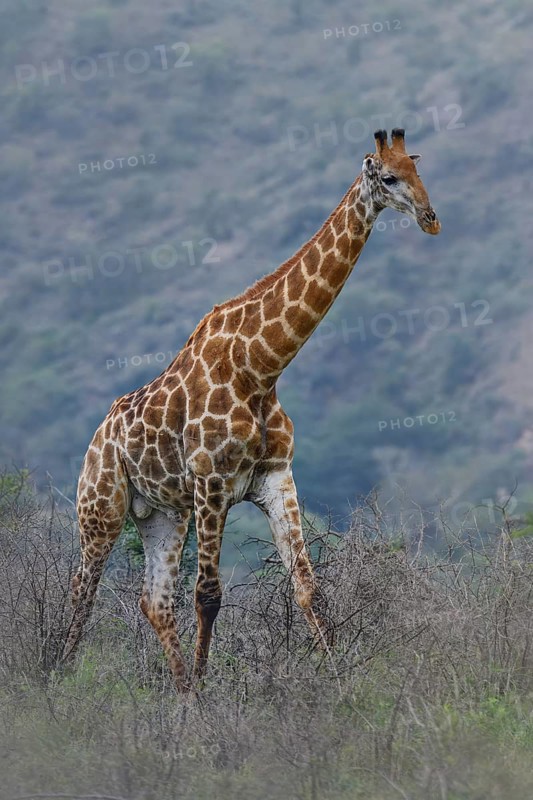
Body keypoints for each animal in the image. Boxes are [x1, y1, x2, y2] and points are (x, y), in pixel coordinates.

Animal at [64, 129, 440, 690]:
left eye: (420, 172)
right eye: (390, 178)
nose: (431, 218)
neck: (260, 367)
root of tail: (96, 436)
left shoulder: (276, 478)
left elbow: (307, 586)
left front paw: (341, 684)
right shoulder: (213, 482)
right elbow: (208, 596)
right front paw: (206, 699)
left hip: (163, 514)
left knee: (154, 601)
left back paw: (177, 692)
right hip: (102, 508)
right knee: (81, 590)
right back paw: (58, 680)